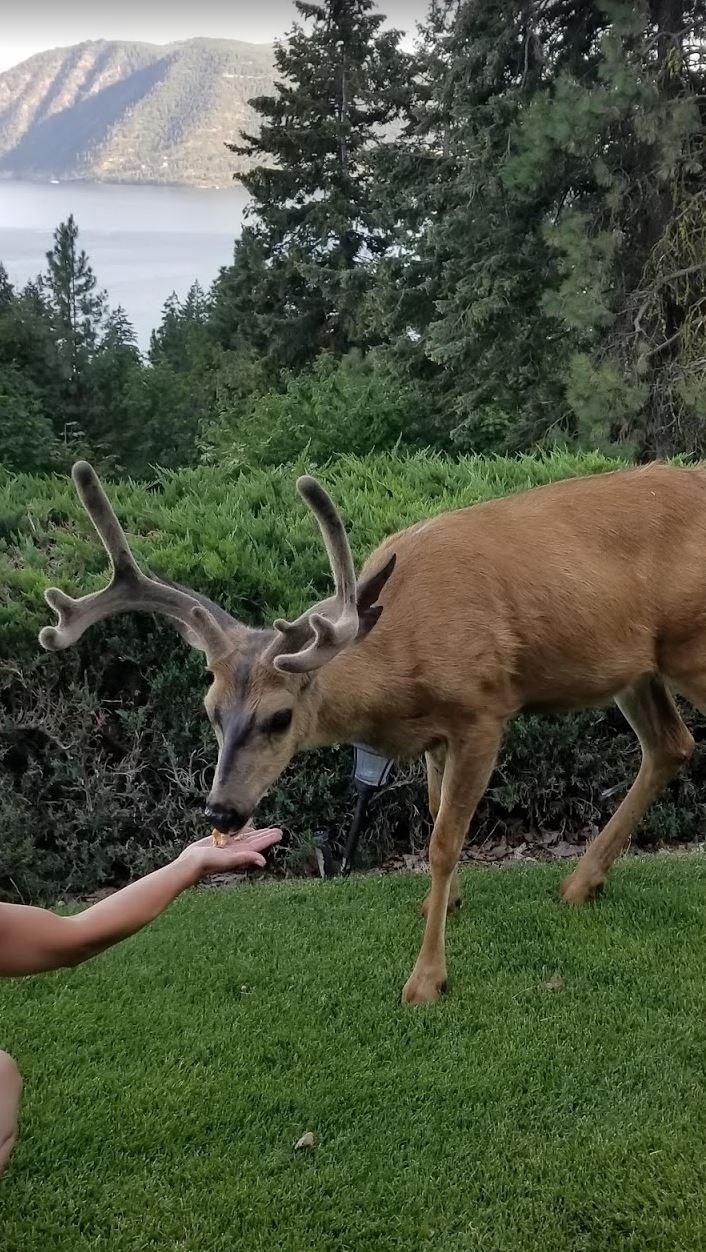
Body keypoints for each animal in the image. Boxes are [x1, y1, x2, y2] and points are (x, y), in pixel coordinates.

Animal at [39, 459, 705, 1004]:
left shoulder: (484, 708)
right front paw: (442, 904)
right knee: (671, 745)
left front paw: (427, 979)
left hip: (689, 646)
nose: (222, 811)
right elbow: (435, 811)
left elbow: (442, 842)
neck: (399, 665)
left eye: (280, 716)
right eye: (209, 710)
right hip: (635, 665)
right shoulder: (439, 732)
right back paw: (581, 882)